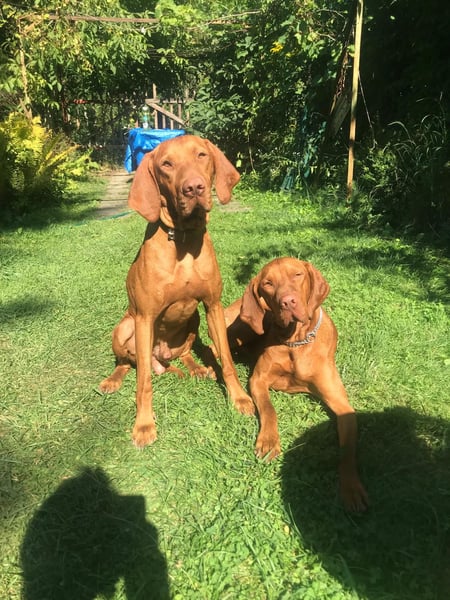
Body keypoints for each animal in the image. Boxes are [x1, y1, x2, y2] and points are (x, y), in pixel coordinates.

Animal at [99, 135, 254, 447]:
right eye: (166, 164)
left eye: (201, 155)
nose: (194, 187)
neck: (183, 239)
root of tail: (161, 359)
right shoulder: (145, 317)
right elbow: (143, 381)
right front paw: (144, 424)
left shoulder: (212, 305)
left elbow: (227, 359)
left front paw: (239, 398)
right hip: (124, 327)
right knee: (129, 363)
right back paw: (113, 379)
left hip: (193, 319)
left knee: (184, 354)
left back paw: (197, 368)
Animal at [224, 257, 369, 511]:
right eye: (268, 283)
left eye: (297, 275)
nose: (287, 302)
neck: (296, 341)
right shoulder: (258, 379)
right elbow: (269, 410)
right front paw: (269, 441)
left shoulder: (342, 404)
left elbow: (347, 450)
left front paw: (351, 487)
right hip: (244, 328)